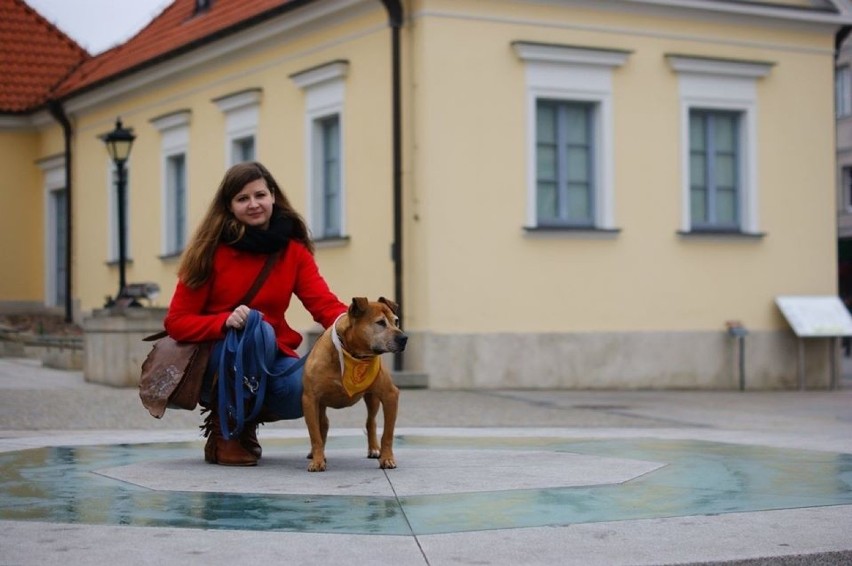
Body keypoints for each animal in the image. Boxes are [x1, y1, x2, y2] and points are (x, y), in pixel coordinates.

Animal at [302, 300, 408, 472]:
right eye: (380, 323)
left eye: (397, 321)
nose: (405, 338)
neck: (351, 354)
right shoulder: (310, 399)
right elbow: (314, 435)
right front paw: (317, 460)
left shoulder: (390, 395)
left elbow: (387, 434)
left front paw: (387, 458)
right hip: (320, 405)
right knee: (322, 425)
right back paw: (318, 453)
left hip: (372, 398)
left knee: (370, 421)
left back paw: (374, 449)